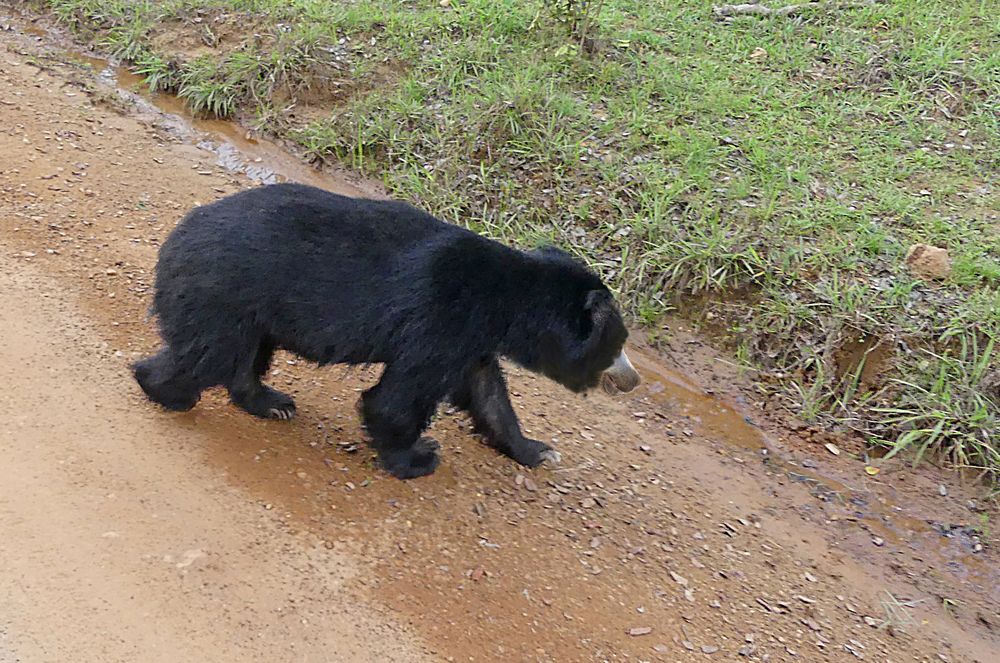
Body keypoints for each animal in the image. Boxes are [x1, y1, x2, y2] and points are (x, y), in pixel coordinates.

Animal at [133, 184, 640, 480]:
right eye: (617, 345)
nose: (632, 379)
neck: (505, 301)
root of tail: (176, 235)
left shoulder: (472, 342)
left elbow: (486, 392)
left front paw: (536, 450)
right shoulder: (441, 321)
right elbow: (398, 398)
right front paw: (418, 457)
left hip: (252, 311)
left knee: (244, 357)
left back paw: (271, 402)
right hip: (222, 294)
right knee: (207, 354)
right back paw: (164, 389)